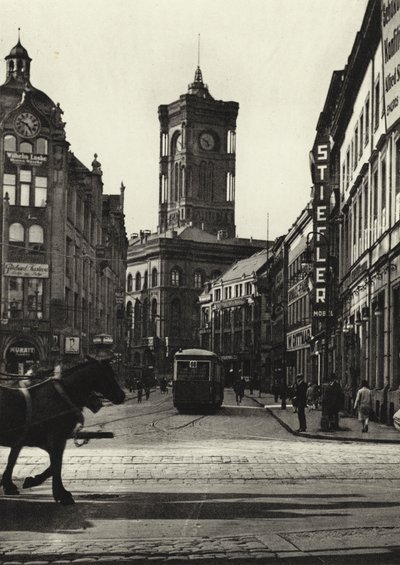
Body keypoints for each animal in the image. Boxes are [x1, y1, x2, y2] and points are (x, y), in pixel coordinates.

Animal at [0, 356, 125, 502]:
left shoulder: (44, 440)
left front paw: (31, 481)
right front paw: (62, 494)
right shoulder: (56, 438)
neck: (65, 394)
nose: (122, 395)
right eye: (108, 375)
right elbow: (56, 464)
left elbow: (51, 465)